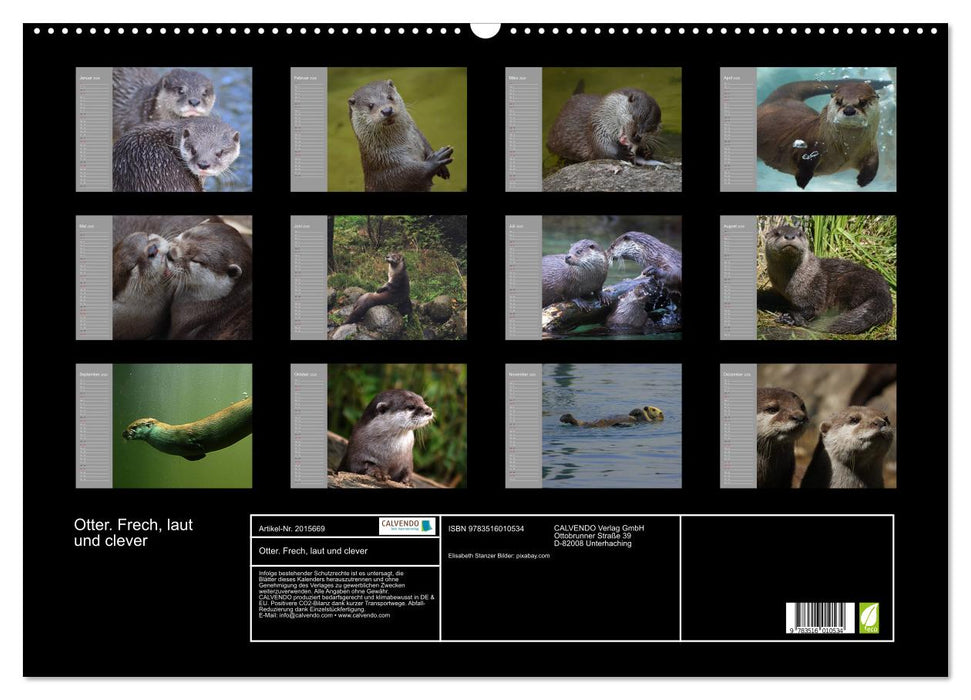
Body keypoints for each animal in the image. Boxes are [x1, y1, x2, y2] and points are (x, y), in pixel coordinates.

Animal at [123, 396, 252, 461]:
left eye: (133, 427)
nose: (123, 433)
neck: (167, 435)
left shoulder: (184, 435)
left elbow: (192, 440)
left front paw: (199, 446)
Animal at [756, 79, 892, 188]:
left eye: (863, 102)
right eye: (839, 101)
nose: (849, 110)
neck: (847, 151)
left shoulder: (871, 148)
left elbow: (873, 163)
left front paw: (863, 180)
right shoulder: (811, 145)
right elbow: (805, 162)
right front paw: (802, 180)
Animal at [763, 225, 893, 334]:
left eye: (799, 233)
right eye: (777, 233)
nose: (790, 236)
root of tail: (883, 293)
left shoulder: (815, 290)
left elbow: (811, 309)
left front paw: (788, 317)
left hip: (851, 284)